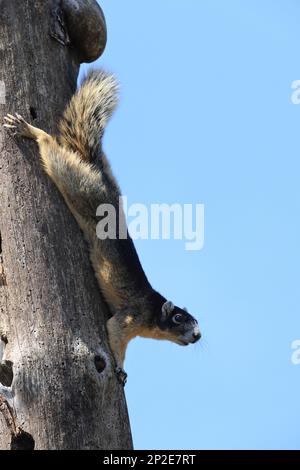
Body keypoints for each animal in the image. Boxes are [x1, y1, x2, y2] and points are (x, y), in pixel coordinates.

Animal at [2, 70, 202, 386]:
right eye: (179, 318)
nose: (198, 335)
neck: (153, 313)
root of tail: (98, 175)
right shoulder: (130, 317)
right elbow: (114, 334)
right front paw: (120, 369)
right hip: (78, 186)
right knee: (52, 150)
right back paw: (31, 130)